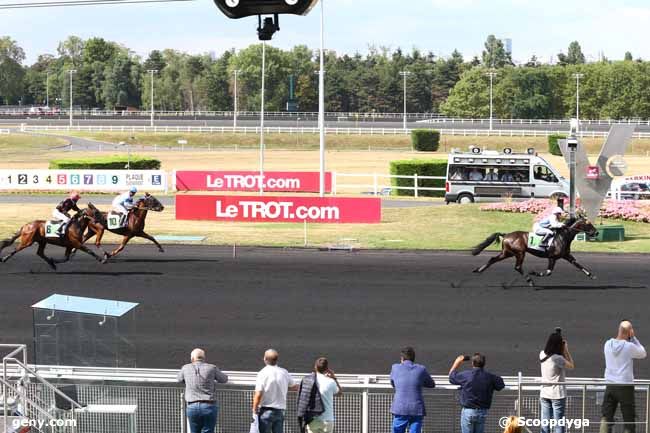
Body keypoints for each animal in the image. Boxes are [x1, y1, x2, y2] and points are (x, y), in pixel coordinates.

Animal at [468, 216, 596, 286]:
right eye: (588, 223)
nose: (595, 232)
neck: (563, 236)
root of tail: (506, 235)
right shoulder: (552, 257)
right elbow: (548, 272)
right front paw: (534, 272)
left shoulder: (566, 255)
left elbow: (578, 264)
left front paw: (591, 275)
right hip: (520, 253)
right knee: (517, 267)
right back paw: (530, 281)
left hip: (507, 253)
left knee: (493, 259)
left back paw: (478, 270)